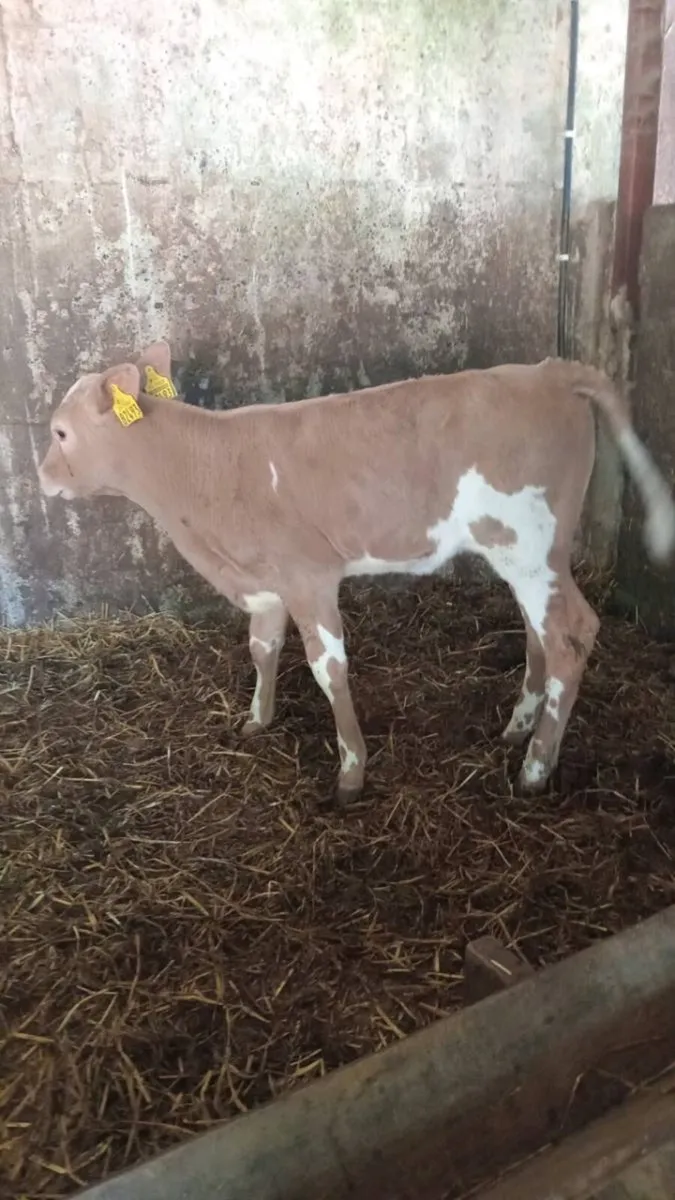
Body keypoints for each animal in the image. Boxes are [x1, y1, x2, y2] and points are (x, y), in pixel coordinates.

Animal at [38, 340, 675, 801]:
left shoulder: (308, 577)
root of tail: (549, 372)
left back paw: (535, 770)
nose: (40, 477)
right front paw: (256, 721)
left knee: (570, 635)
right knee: (537, 634)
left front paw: (351, 771)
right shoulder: (267, 582)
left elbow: (329, 670)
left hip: (529, 544)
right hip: (525, 555)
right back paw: (518, 726)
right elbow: (262, 649)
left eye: (60, 433)